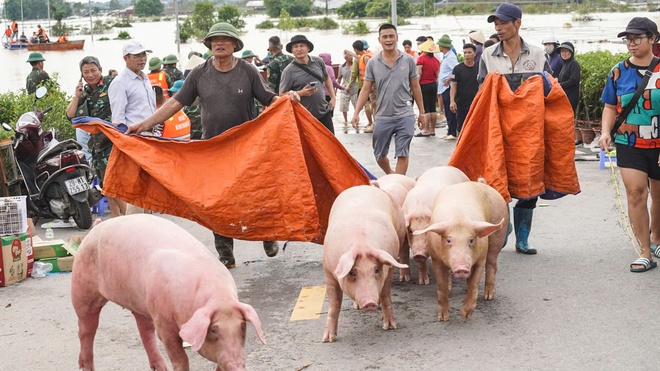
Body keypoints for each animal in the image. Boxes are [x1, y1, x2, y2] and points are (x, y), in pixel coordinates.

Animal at [72, 215, 266, 371]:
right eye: (213, 329)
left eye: (242, 326)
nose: (238, 366)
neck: (217, 297)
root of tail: (97, 226)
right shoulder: (164, 324)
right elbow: (180, 359)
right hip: (82, 288)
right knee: (86, 330)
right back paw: (86, 366)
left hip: (141, 302)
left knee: (144, 331)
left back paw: (161, 368)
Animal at [320, 185, 408, 344]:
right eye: (352, 272)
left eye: (376, 270)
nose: (369, 303)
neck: (361, 244)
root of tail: (365, 186)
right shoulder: (329, 272)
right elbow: (334, 304)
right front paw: (328, 339)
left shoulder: (389, 267)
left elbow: (386, 294)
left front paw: (389, 327)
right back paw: (357, 307)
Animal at [416, 181, 508, 322]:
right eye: (449, 240)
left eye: (471, 240)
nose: (462, 268)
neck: (458, 217)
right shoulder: (436, 259)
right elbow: (441, 287)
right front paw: (443, 318)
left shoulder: (480, 258)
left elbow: (474, 284)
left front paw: (465, 315)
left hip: (498, 232)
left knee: (492, 263)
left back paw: (488, 296)